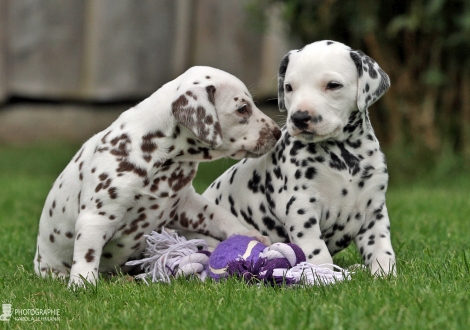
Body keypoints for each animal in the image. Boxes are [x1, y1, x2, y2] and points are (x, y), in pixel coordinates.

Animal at [35, 66, 282, 286]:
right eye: (242, 108)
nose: (278, 132)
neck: (160, 159)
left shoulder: (185, 205)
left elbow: (219, 216)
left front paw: (249, 234)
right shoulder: (96, 218)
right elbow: (87, 255)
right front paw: (82, 284)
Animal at [200, 42, 394, 278]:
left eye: (333, 85)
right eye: (289, 87)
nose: (300, 117)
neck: (344, 157)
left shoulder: (374, 210)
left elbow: (381, 248)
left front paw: (385, 275)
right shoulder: (300, 208)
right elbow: (317, 251)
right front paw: (322, 276)